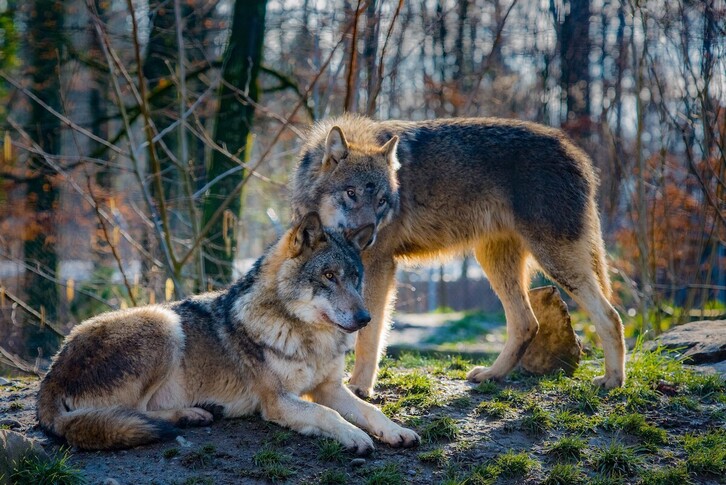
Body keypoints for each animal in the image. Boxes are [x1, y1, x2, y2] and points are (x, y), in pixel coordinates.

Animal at [37, 212, 420, 452]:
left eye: (355, 278)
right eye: (328, 276)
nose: (365, 317)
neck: (307, 337)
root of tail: (52, 373)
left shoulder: (329, 388)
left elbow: (370, 411)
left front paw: (396, 431)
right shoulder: (277, 401)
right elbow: (328, 415)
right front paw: (355, 437)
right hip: (164, 323)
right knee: (134, 413)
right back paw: (191, 414)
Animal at [291, 115, 626, 397]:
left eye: (383, 201)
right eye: (351, 193)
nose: (368, 236)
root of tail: (577, 153)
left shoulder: (379, 266)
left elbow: (369, 333)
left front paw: (360, 387)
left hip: (554, 261)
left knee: (610, 316)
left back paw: (613, 380)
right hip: (495, 262)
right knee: (527, 323)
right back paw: (492, 375)